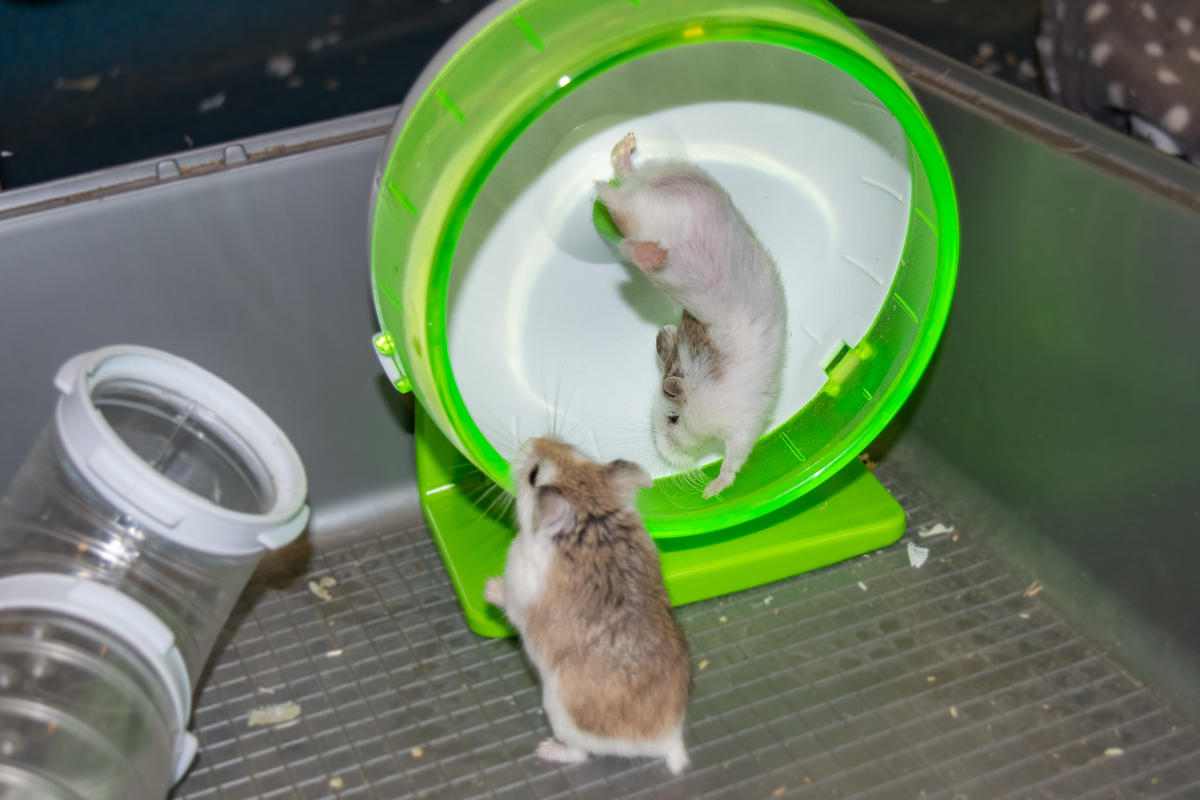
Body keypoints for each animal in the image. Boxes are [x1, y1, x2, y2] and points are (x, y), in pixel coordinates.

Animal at [484, 438, 691, 777]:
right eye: (573, 449)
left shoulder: (518, 585)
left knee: (579, 754)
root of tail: (668, 742)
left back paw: (545, 749)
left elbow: (506, 600)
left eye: (534, 474)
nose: (531, 441)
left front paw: (488, 586)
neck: (589, 511)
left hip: (561, 716)